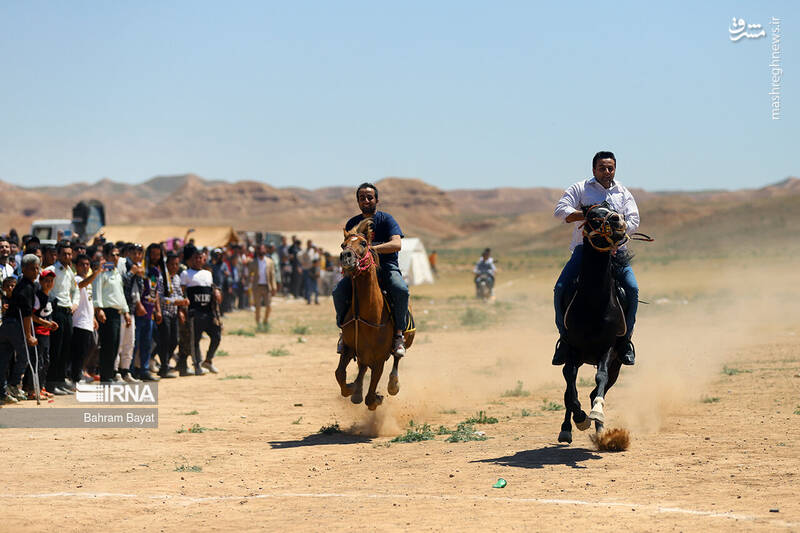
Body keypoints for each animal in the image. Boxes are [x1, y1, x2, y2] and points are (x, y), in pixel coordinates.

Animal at [334, 218, 416, 410]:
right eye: (343, 244)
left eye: (364, 243)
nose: (345, 256)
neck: (367, 314)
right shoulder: (349, 348)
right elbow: (339, 374)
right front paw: (352, 388)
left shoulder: (379, 359)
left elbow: (371, 398)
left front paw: (376, 397)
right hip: (362, 354)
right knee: (362, 367)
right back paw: (357, 390)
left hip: (405, 341)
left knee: (396, 359)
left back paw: (393, 384)